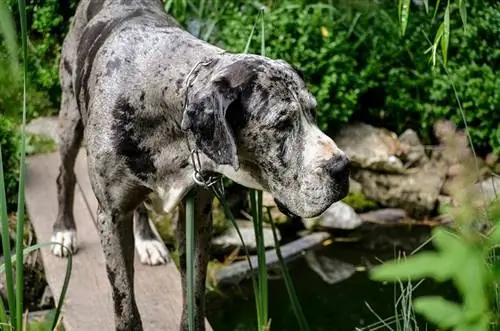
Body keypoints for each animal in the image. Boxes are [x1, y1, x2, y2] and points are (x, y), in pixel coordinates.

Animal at [50, 0, 348, 330]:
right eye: (281, 124)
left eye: (313, 112)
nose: (342, 167)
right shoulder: (111, 218)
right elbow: (125, 303)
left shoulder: (198, 214)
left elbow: (194, 292)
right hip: (69, 117)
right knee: (64, 174)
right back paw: (64, 231)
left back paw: (147, 239)